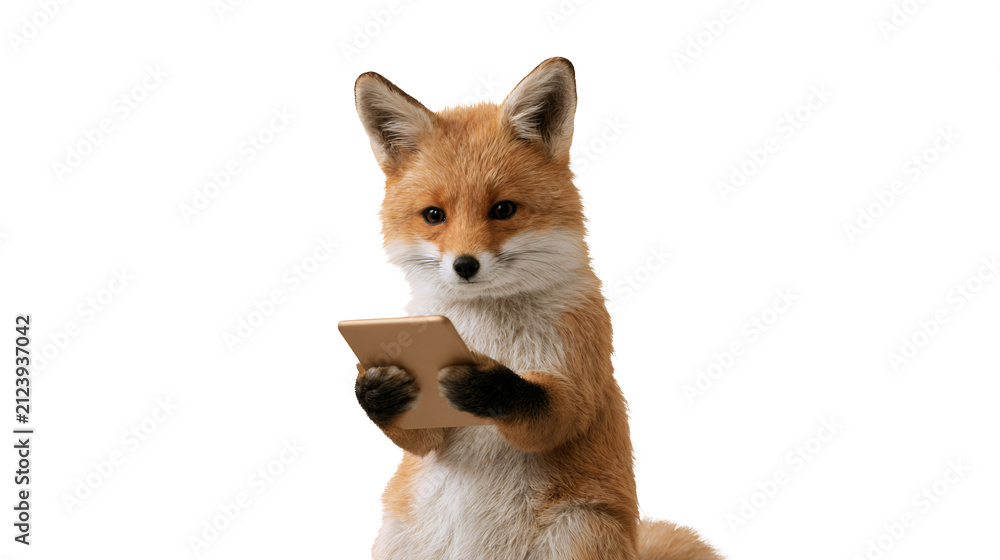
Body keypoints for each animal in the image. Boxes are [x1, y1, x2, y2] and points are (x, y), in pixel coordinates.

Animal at [352, 57, 722, 560]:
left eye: (503, 209)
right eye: (433, 216)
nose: (464, 265)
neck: (485, 328)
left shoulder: (579, 370)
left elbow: (550, 412)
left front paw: (485, 384)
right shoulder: (430, 431)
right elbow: (418, 436)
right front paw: (377, 389)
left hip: (579, 531)